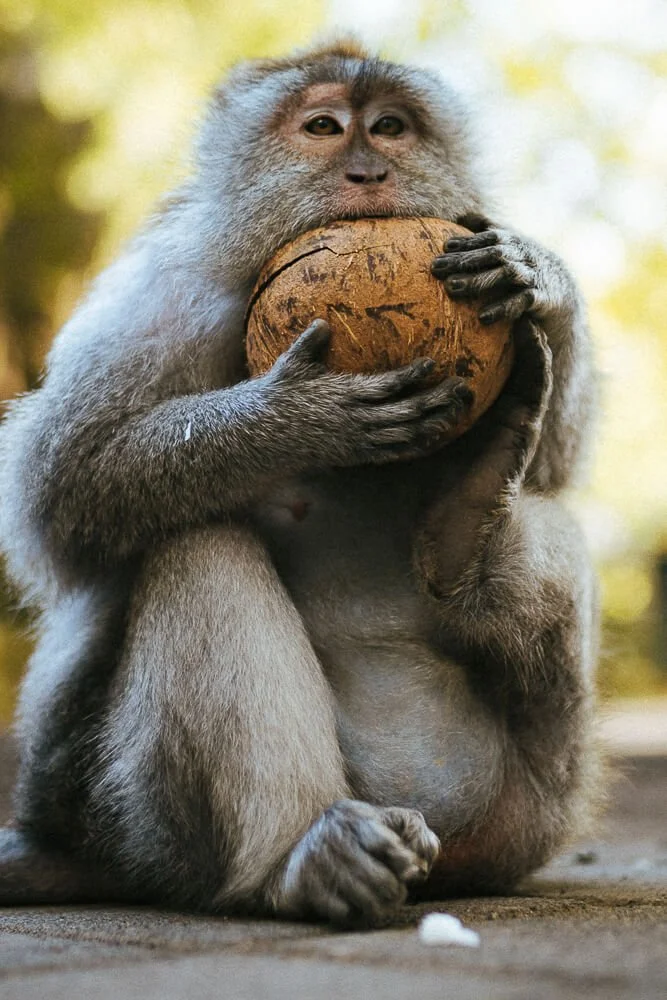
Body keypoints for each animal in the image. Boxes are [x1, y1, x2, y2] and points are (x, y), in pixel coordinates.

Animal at [0, 41, 599, 924]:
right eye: (322, 128)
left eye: (390, 127)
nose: (367, 172)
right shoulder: (172, 298)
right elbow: (59, 488)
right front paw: (295, 416)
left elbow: (557, 466)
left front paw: (542, 274)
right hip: (148, 821)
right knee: (195, 542)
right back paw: (302, 858)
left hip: (535, 802)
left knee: (542, 520)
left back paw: (469, 515)